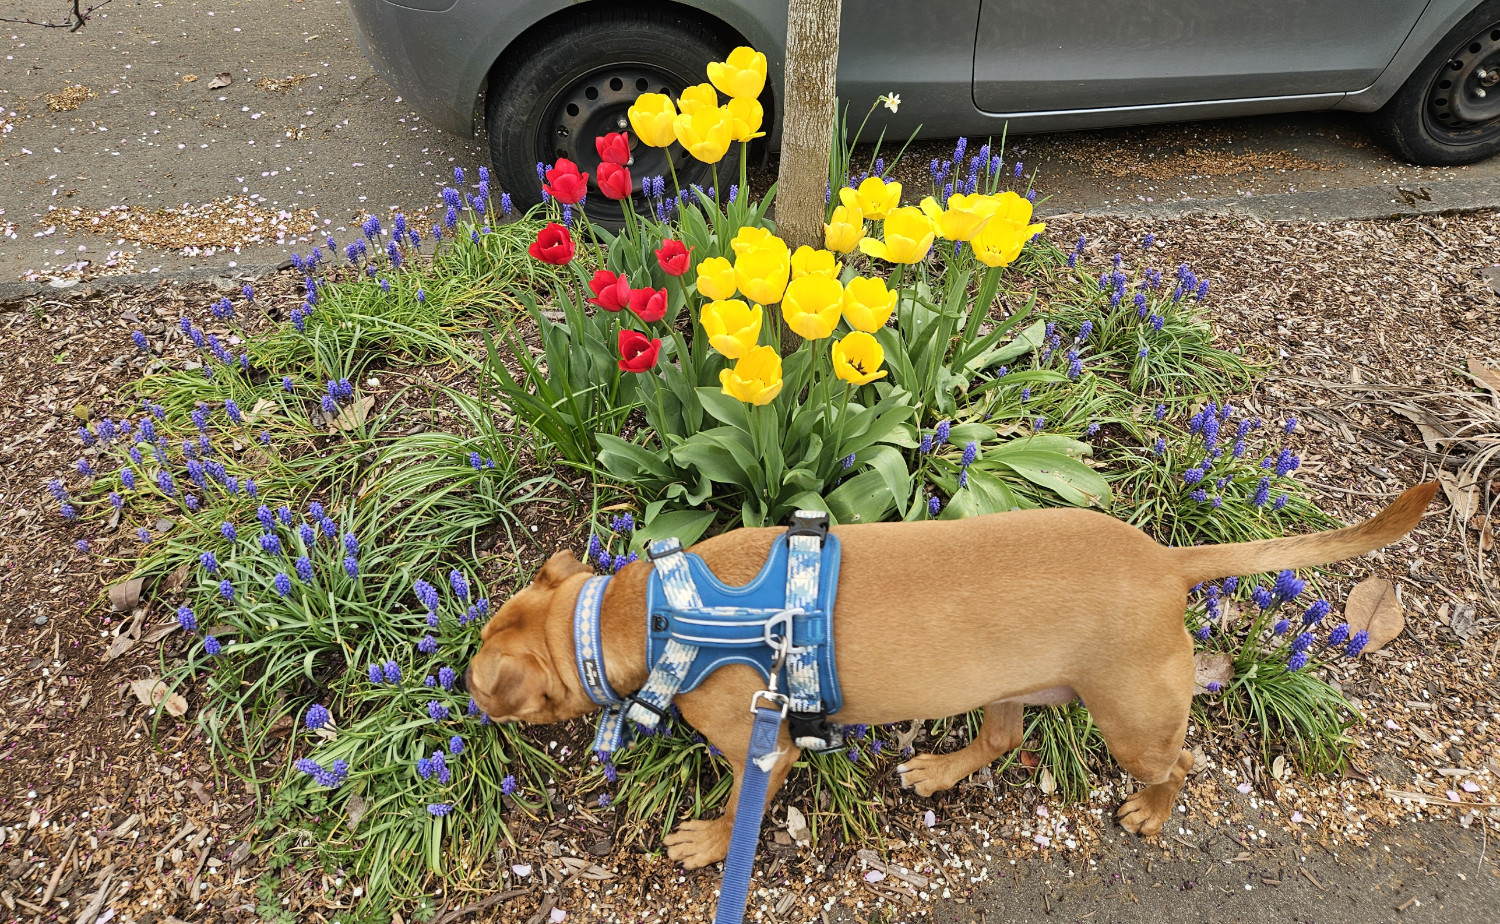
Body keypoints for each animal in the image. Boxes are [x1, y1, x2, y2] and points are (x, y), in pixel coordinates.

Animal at [468, 480, 1440, 870]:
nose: (458, 703)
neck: (654, 611)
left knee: (1183, 763)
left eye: (478, 686)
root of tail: (1167, 561)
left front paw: (709, 843)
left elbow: (745, 801)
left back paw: (1152, 811)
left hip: (1132, 717)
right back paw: (937, 770)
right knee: (1002, 738)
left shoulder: (760, 744)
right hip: (1010, 686)